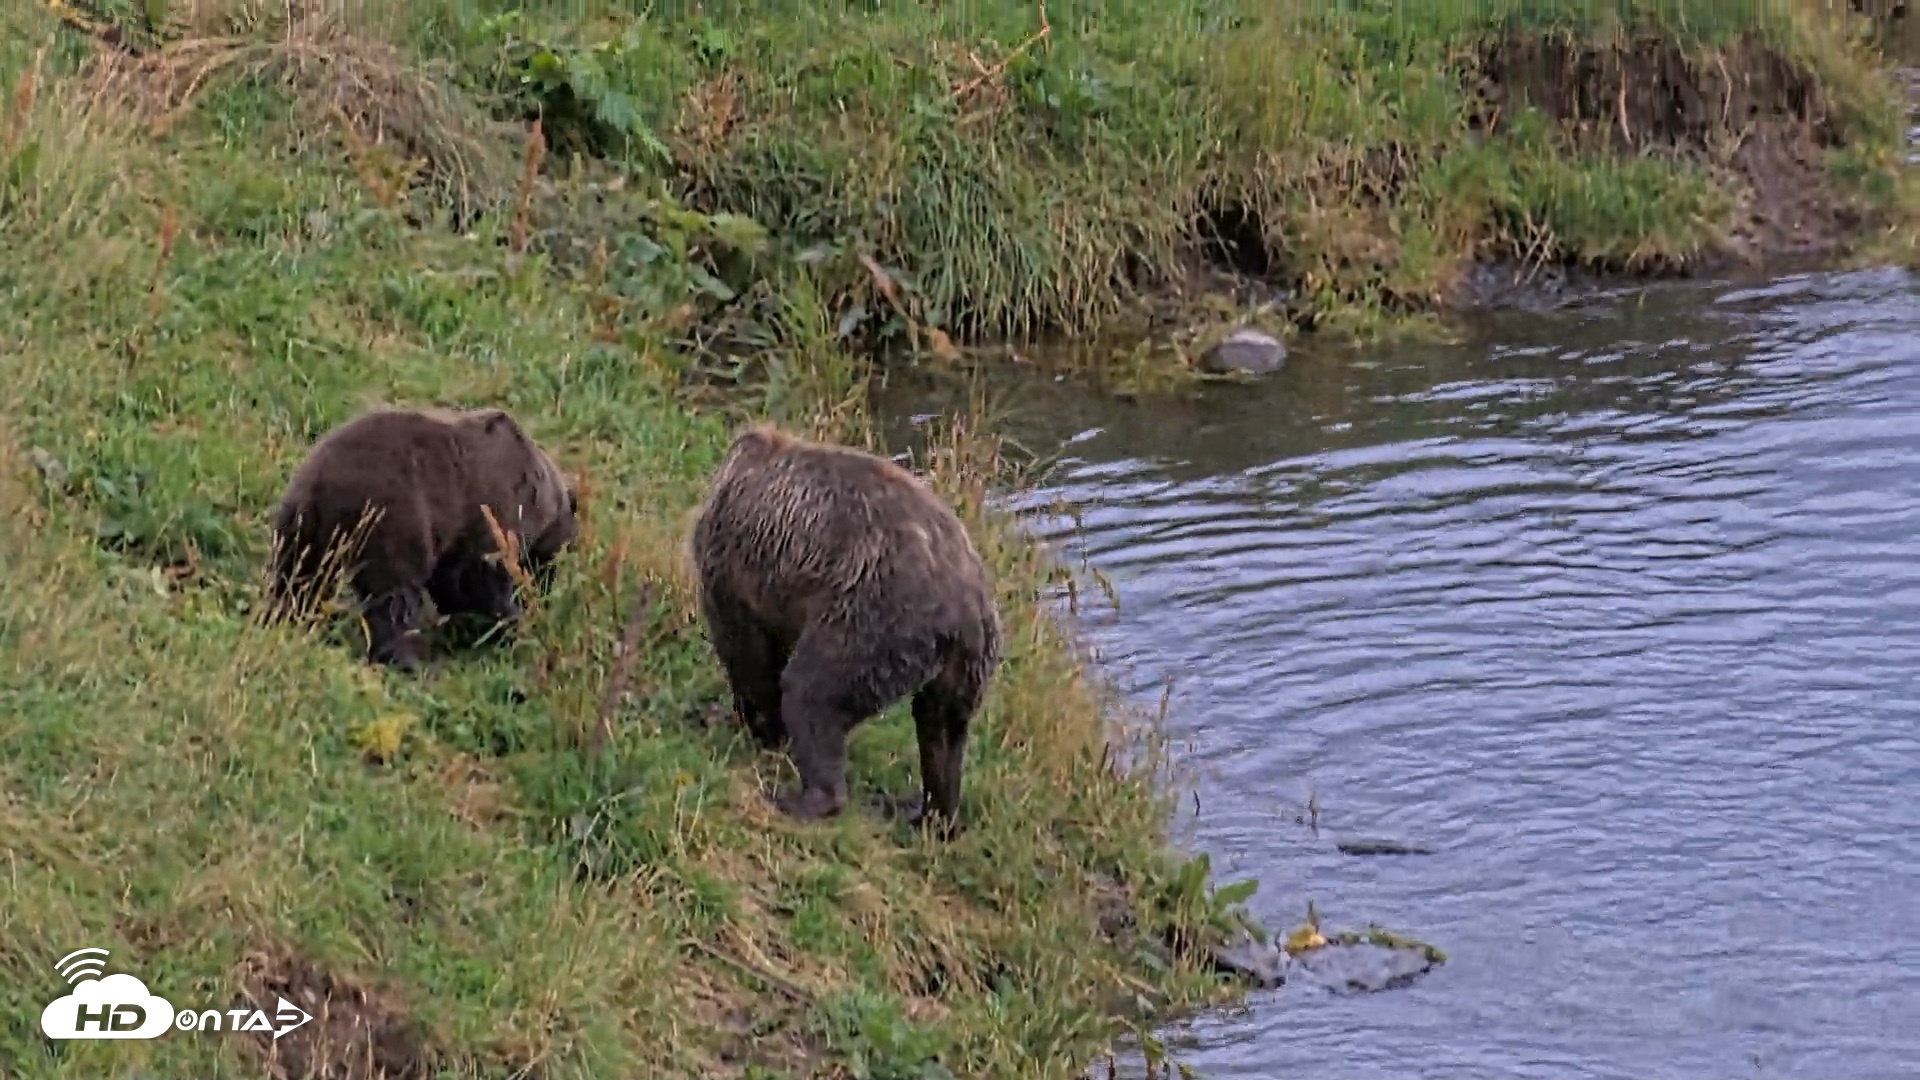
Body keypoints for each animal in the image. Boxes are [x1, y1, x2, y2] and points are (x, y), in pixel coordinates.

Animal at [265, 405, 579, 671]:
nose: (545, 592)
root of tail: (320, 485)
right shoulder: (493, 511)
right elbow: (480, 578)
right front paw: (510, 624)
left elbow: (453, 583)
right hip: (392, 518)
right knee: (393, 596)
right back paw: (408, 660)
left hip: (303, 530)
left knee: (297, 581)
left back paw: (286, 620)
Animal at [690, 423, 1001, 837]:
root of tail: (964, 612)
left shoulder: (735, 569)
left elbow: (748, 656)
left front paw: (751, 725)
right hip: (965, 664)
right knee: (942, 730)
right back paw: (931, 816)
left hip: (870, 617)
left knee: (812, 691)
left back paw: (803, 799)